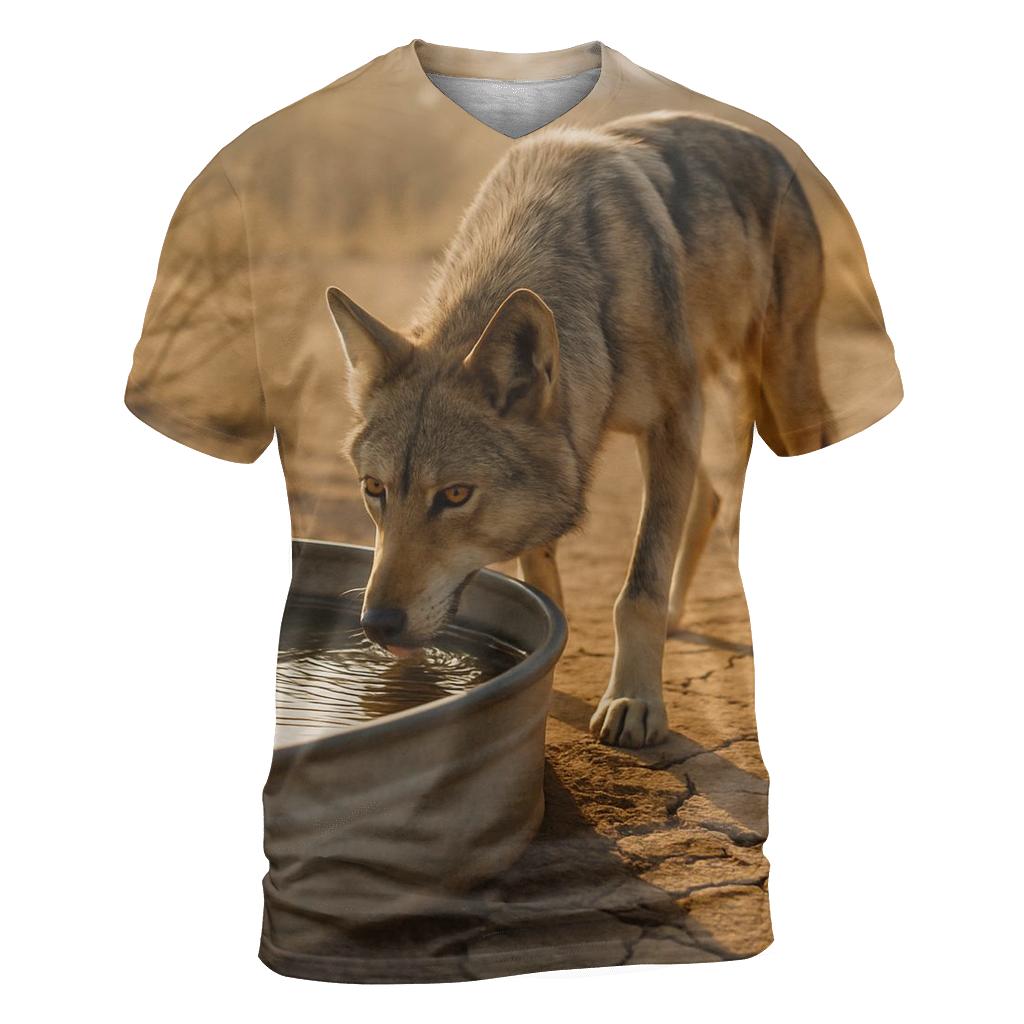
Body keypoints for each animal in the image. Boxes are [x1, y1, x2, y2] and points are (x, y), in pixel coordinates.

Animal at [326, 110, 829, 748]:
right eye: (375, 490)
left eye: (455, 495)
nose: (377, 624)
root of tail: (763, 141)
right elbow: (543, 579)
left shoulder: (672, 420)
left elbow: (637, 588)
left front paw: (635, 702)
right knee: (711, 498)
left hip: (780, 394)